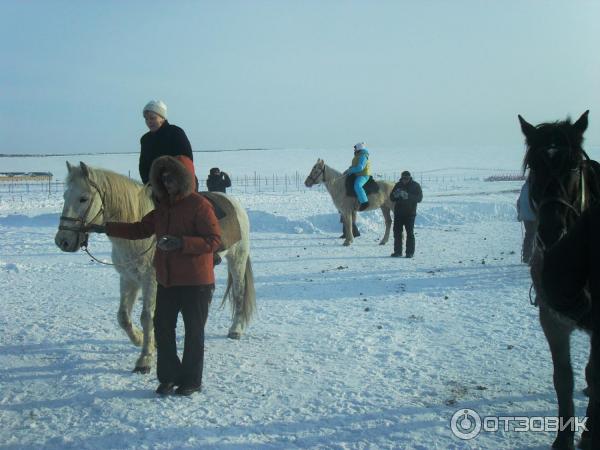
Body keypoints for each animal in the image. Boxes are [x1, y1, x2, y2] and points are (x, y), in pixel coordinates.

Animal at [53, 162, 255, 372]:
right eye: (65, 196)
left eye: (83, 198)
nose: (62, 241)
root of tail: (233, 202)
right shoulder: (128, 278)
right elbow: (123, 317)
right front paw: (140, 339)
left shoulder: (150, 281)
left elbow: (147, 316)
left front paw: (145, 359)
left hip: (237, 259)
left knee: (239, 293)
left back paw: (235, 329)